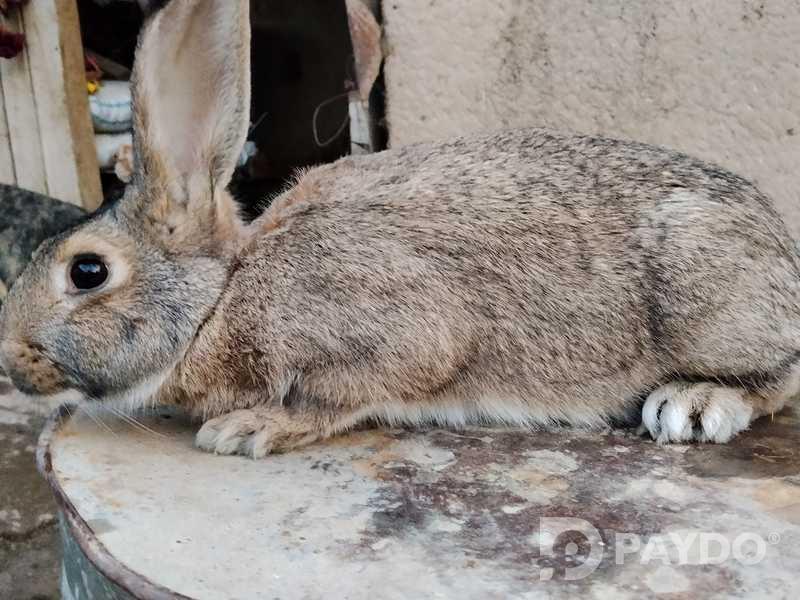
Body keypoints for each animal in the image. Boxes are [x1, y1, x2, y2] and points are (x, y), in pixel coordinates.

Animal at [1, 0, 799, 458]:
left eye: (87, 271)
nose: (10, 363)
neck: (220, 300)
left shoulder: (399, 335)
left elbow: (345, 394)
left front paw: (251, 429)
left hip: (713, 298)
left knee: (777, 378)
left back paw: (694, 405)